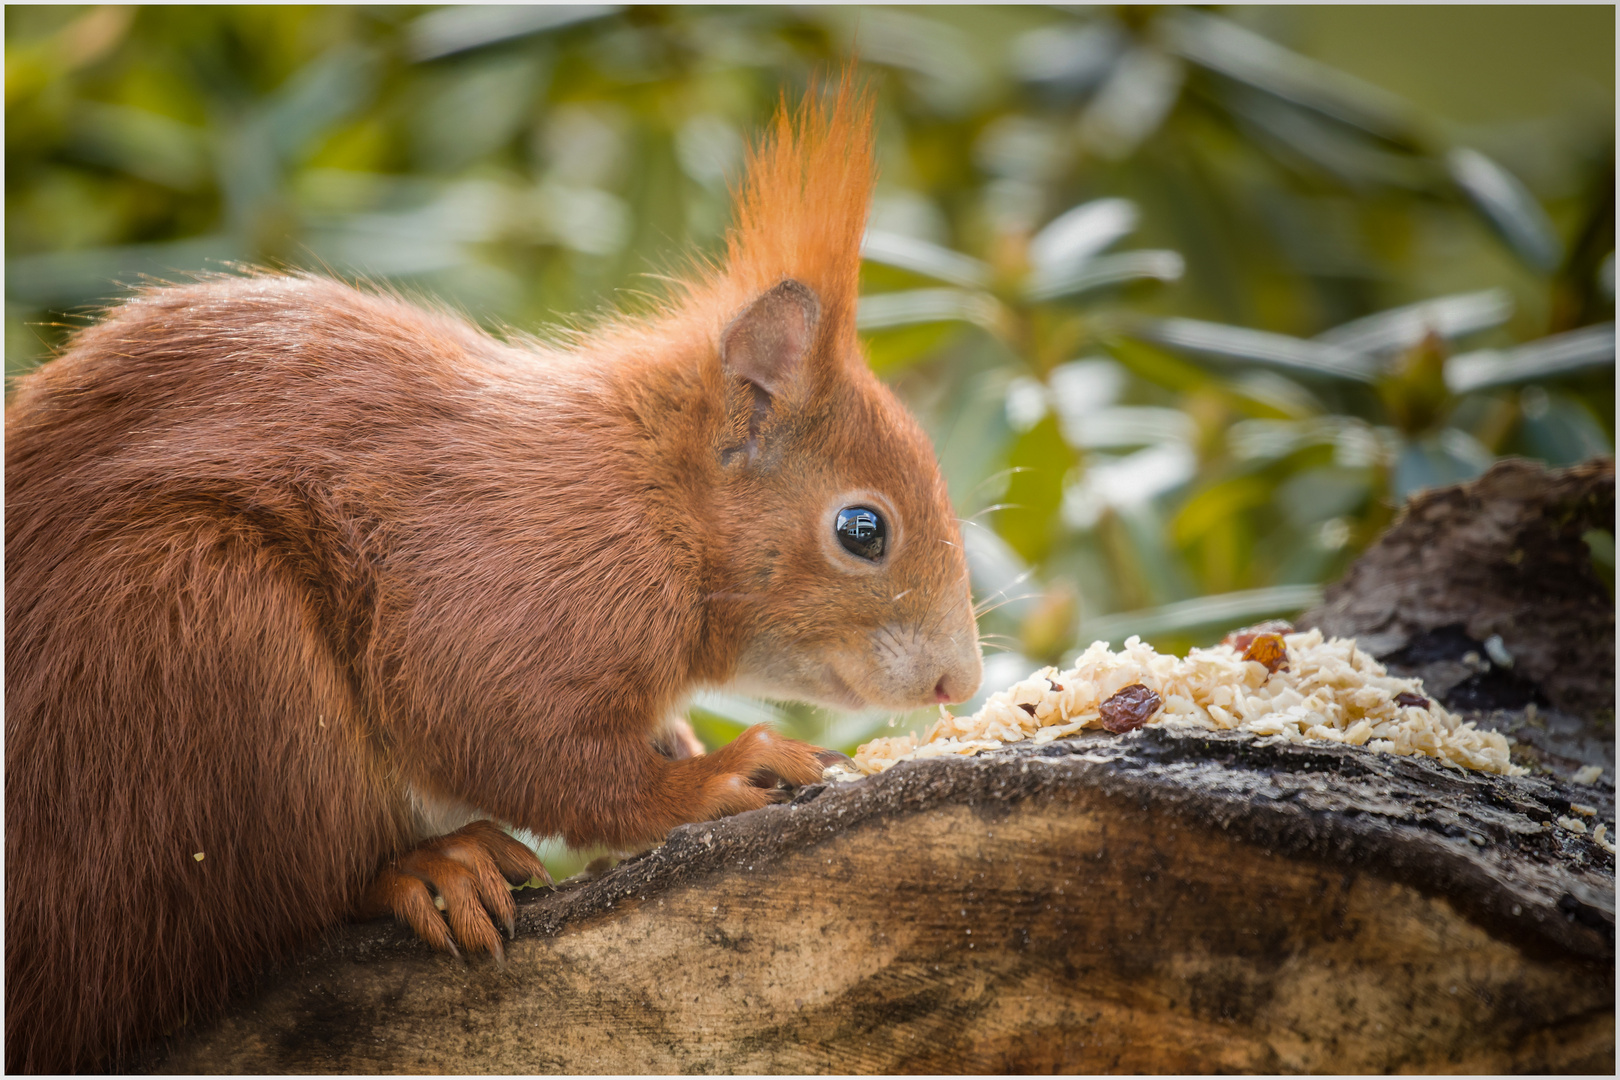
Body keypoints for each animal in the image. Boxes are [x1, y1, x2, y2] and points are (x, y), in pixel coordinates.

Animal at [6, 78, 978, 1075]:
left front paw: (684, 743)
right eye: (863, 530)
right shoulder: (509, 587)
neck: (650, 499)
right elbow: (517, 742)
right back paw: (422, 867)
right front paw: (714, 776)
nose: (962, 679)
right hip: (200, 643)